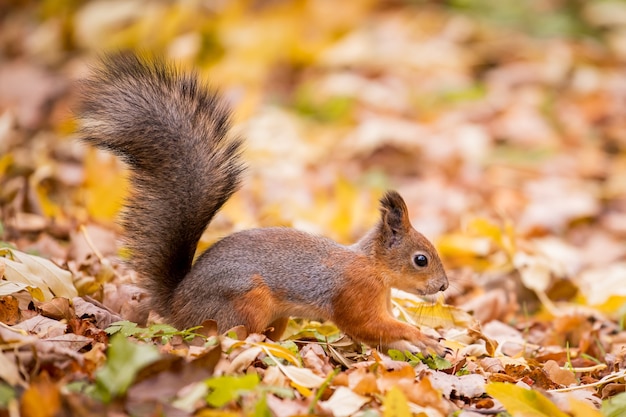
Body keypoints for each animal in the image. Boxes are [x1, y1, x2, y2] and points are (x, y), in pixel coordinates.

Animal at [77, 52, 448, 354]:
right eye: (421, 260)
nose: (444, 286)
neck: (374, 268)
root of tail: (178, 306)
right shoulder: (354, 295)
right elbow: (368, 326)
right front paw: (424, 338)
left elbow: (376, 335)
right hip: (245, 303)